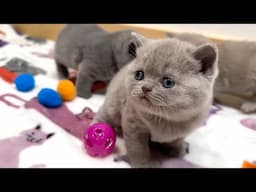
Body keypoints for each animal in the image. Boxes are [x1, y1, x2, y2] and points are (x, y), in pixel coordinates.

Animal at [92, 33, 218, 168]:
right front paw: (144, 164)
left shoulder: (185, 128)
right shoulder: (133, 125)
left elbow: (177, 139)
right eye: (139, 75)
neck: (165, 118)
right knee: (104, 115)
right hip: (113, 107)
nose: (145, 88)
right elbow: (138, 148)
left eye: (168, 82)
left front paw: (177, 150)